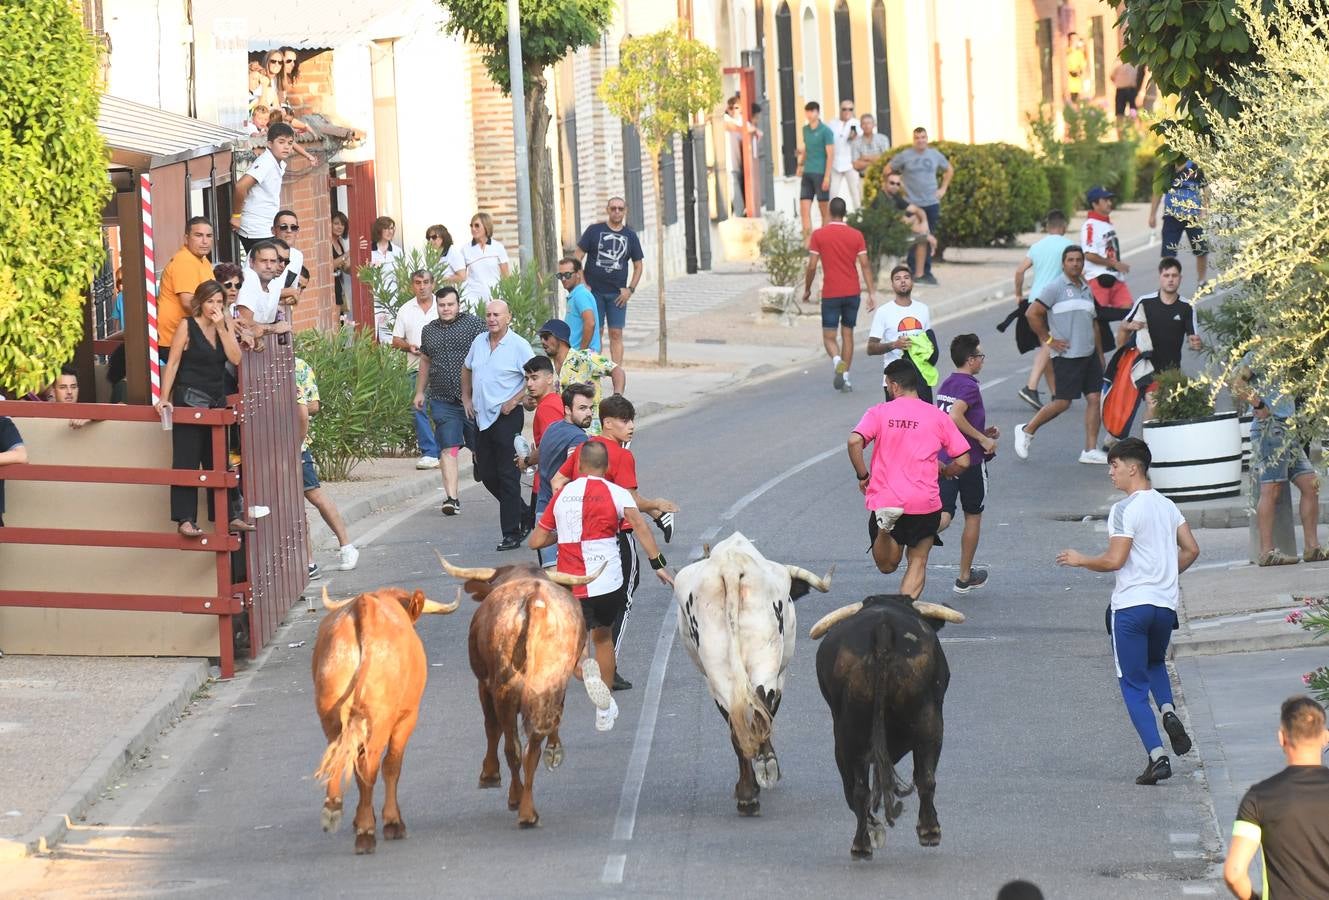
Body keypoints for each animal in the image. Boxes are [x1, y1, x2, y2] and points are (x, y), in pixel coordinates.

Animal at [313, 584, 459, 850]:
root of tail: (365, 607)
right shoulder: (407, 716)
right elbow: (392, 765)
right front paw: (391, 821)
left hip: (331, 713)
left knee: (340, 756)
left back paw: (334, 807)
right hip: (380, 719)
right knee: (369, 765)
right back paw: (366, 832)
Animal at [441, 555, 598, 829]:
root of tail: (534, 600)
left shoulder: (484, 684)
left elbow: (491, 728)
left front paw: (489, 774)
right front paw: (554, 749)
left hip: (504, 688)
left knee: (512, 746)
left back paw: (518, 802)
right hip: (548, 682)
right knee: (533, 744)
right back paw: (529, 808)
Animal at [675, 529, 829, 818]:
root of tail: (731, 565)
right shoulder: (780, 676)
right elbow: (770, 711)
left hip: (721, 669)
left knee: (739, 719)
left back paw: (749, 789)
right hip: (764, 661)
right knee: (759, 708)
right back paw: (762, 774)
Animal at [808, 592, 956, 861]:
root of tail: (883, 628)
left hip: (853, 735)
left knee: (860, 789)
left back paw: (865, 843)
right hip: (928, 722)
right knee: (923, 778)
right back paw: (926, 830)